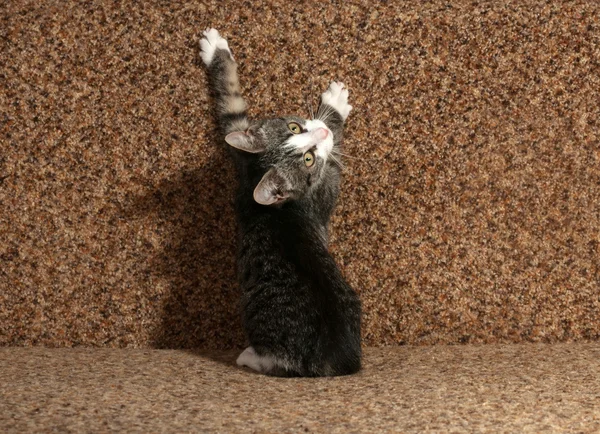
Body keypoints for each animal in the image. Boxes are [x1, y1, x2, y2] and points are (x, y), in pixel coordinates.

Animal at [202, 28, 360, 376]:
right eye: (308, 158)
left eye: (295, 126)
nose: (322, 132)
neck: (258, 173)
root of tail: (328, 358)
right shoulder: (321, 196)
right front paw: (335, 108)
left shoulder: (240, 147)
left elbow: (230, 102)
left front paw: (215, 49)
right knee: (278, 363)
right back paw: (250, 356)